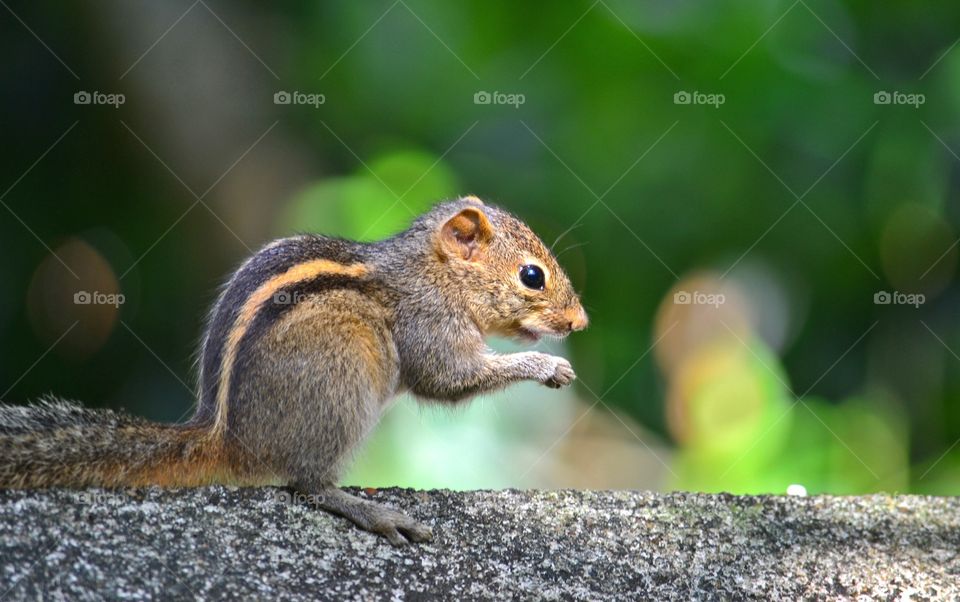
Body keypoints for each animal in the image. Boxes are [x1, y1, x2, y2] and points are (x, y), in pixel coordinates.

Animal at [0, 196, 587, 545]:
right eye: (531, 276)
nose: (579, 321)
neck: (432, 272)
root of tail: (226, 436)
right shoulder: (428, 323)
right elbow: (448, 377)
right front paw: (548, 365)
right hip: (342, 388)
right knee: (306, 484)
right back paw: (370, 511)